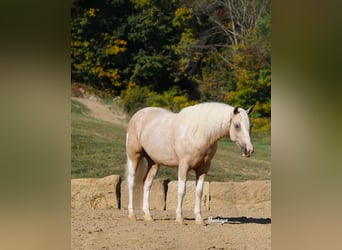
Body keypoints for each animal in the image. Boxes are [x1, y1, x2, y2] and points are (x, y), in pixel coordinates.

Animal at [125, 101, 254, 225]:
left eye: (250, 126)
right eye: (237, 125)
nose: (249, 150)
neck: (199, 133)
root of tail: (138, 114)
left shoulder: (203, 168)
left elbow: (199, 192)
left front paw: (199, 219)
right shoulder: (184, 166)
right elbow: (182, 191)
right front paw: (179, 219)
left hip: (154, 162)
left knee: (147, 184)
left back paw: (148, 216)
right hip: (134, 156)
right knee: (131, 182)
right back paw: (132, 215)